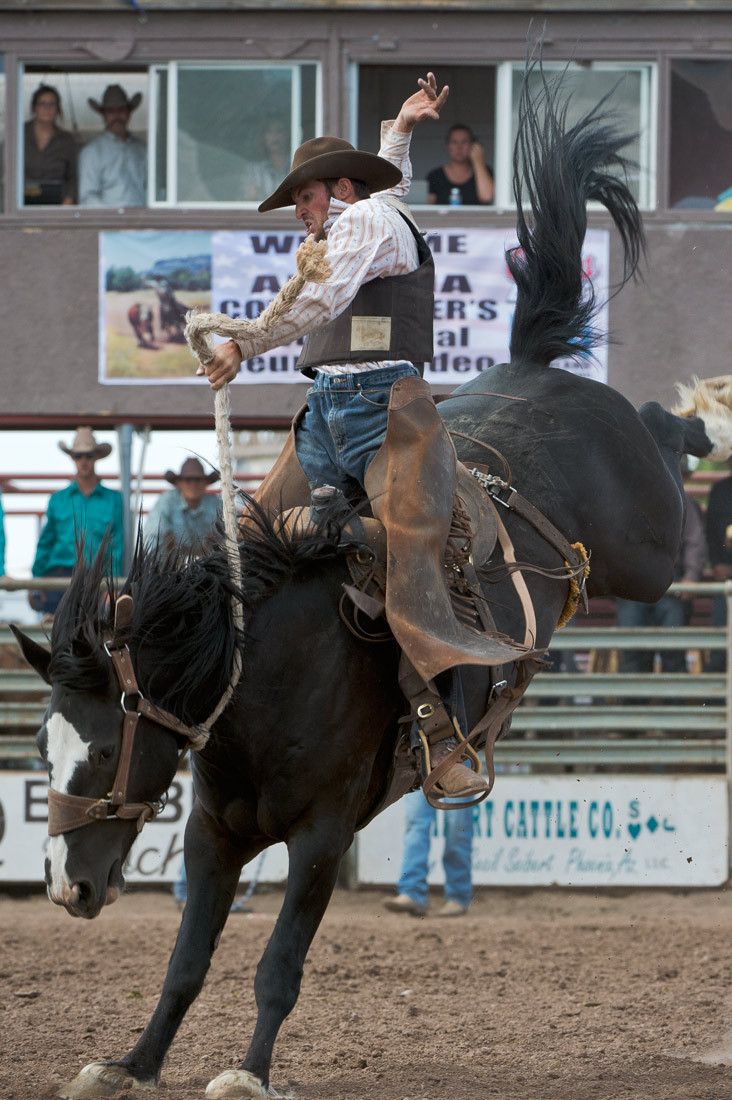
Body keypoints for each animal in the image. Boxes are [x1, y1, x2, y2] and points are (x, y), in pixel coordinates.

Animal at [12, 71, 729, 1100]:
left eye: (105, 748)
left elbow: (277, 965)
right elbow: (187, 961)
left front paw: (248, 1074)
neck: (263, 680)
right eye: (41, 745)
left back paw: (703, 413)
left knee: (666, 448)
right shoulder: (212, 834)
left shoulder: (324, 833)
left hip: (651, 546)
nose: (66, 888)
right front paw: (132, 1064)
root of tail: (533, 370)